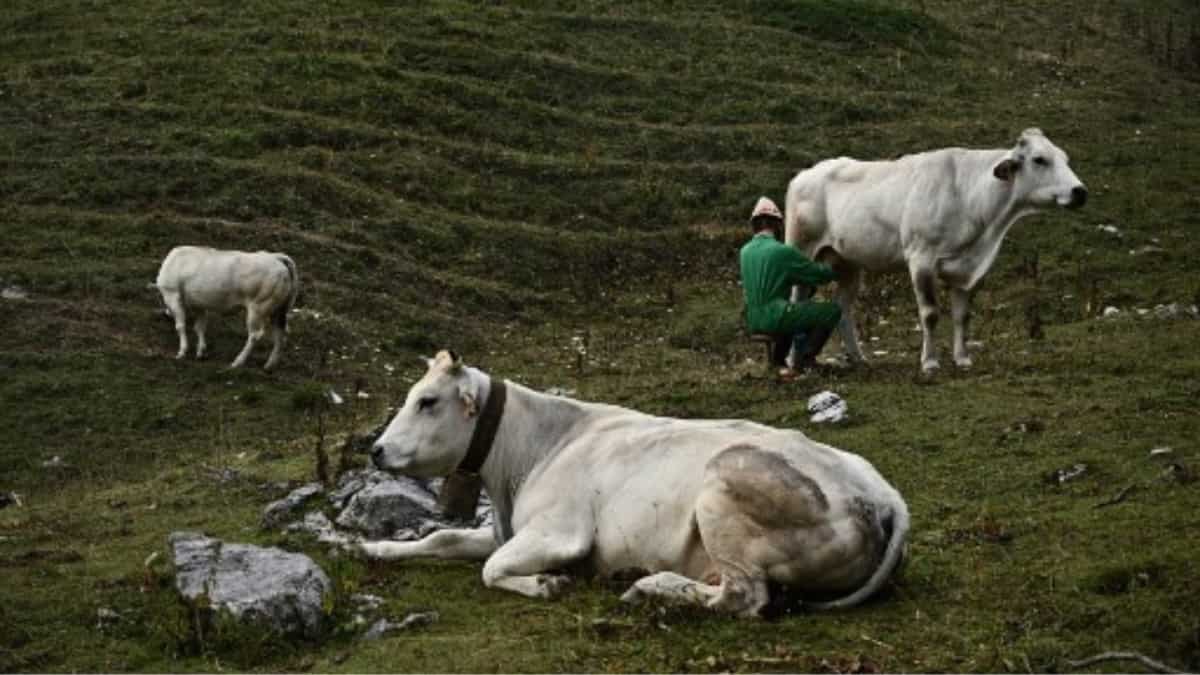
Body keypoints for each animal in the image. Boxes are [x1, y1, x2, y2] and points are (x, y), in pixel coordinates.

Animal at [153, 245, 299, 370]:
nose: (167, 313)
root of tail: (275, 257)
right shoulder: (200, 305)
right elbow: (199, 327)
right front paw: (200, 351)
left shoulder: (172, 294)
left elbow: (180, 325)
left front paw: (182, 352)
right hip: (278, 310)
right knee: (280, 333)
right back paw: (270, 365)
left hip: (258, 307)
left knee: (255, 335)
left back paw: (238, 361)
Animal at [361, 350, 909, 617]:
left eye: (428, 401)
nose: (376, 449)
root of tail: (883, 497)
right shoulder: (506, 530)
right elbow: (442, 537)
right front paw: (375, 548)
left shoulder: (558, 532)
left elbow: (490, 569)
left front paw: (546, 583)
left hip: (723, 490)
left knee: (743, 598)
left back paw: (649, 586)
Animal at [784, 128, 1087, 373]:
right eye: (1039, 159)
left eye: (1065, 158)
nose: (1080, 191)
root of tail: (806, 174)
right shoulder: (921, 259)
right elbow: (930, 313)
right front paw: (929, 362)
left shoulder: (968, 268)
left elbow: (962, 315)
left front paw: (962, 359)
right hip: (801, 249)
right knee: (796, 301)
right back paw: (792, 361)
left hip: (848, 263)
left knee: (842, 307)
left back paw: (858, 358)